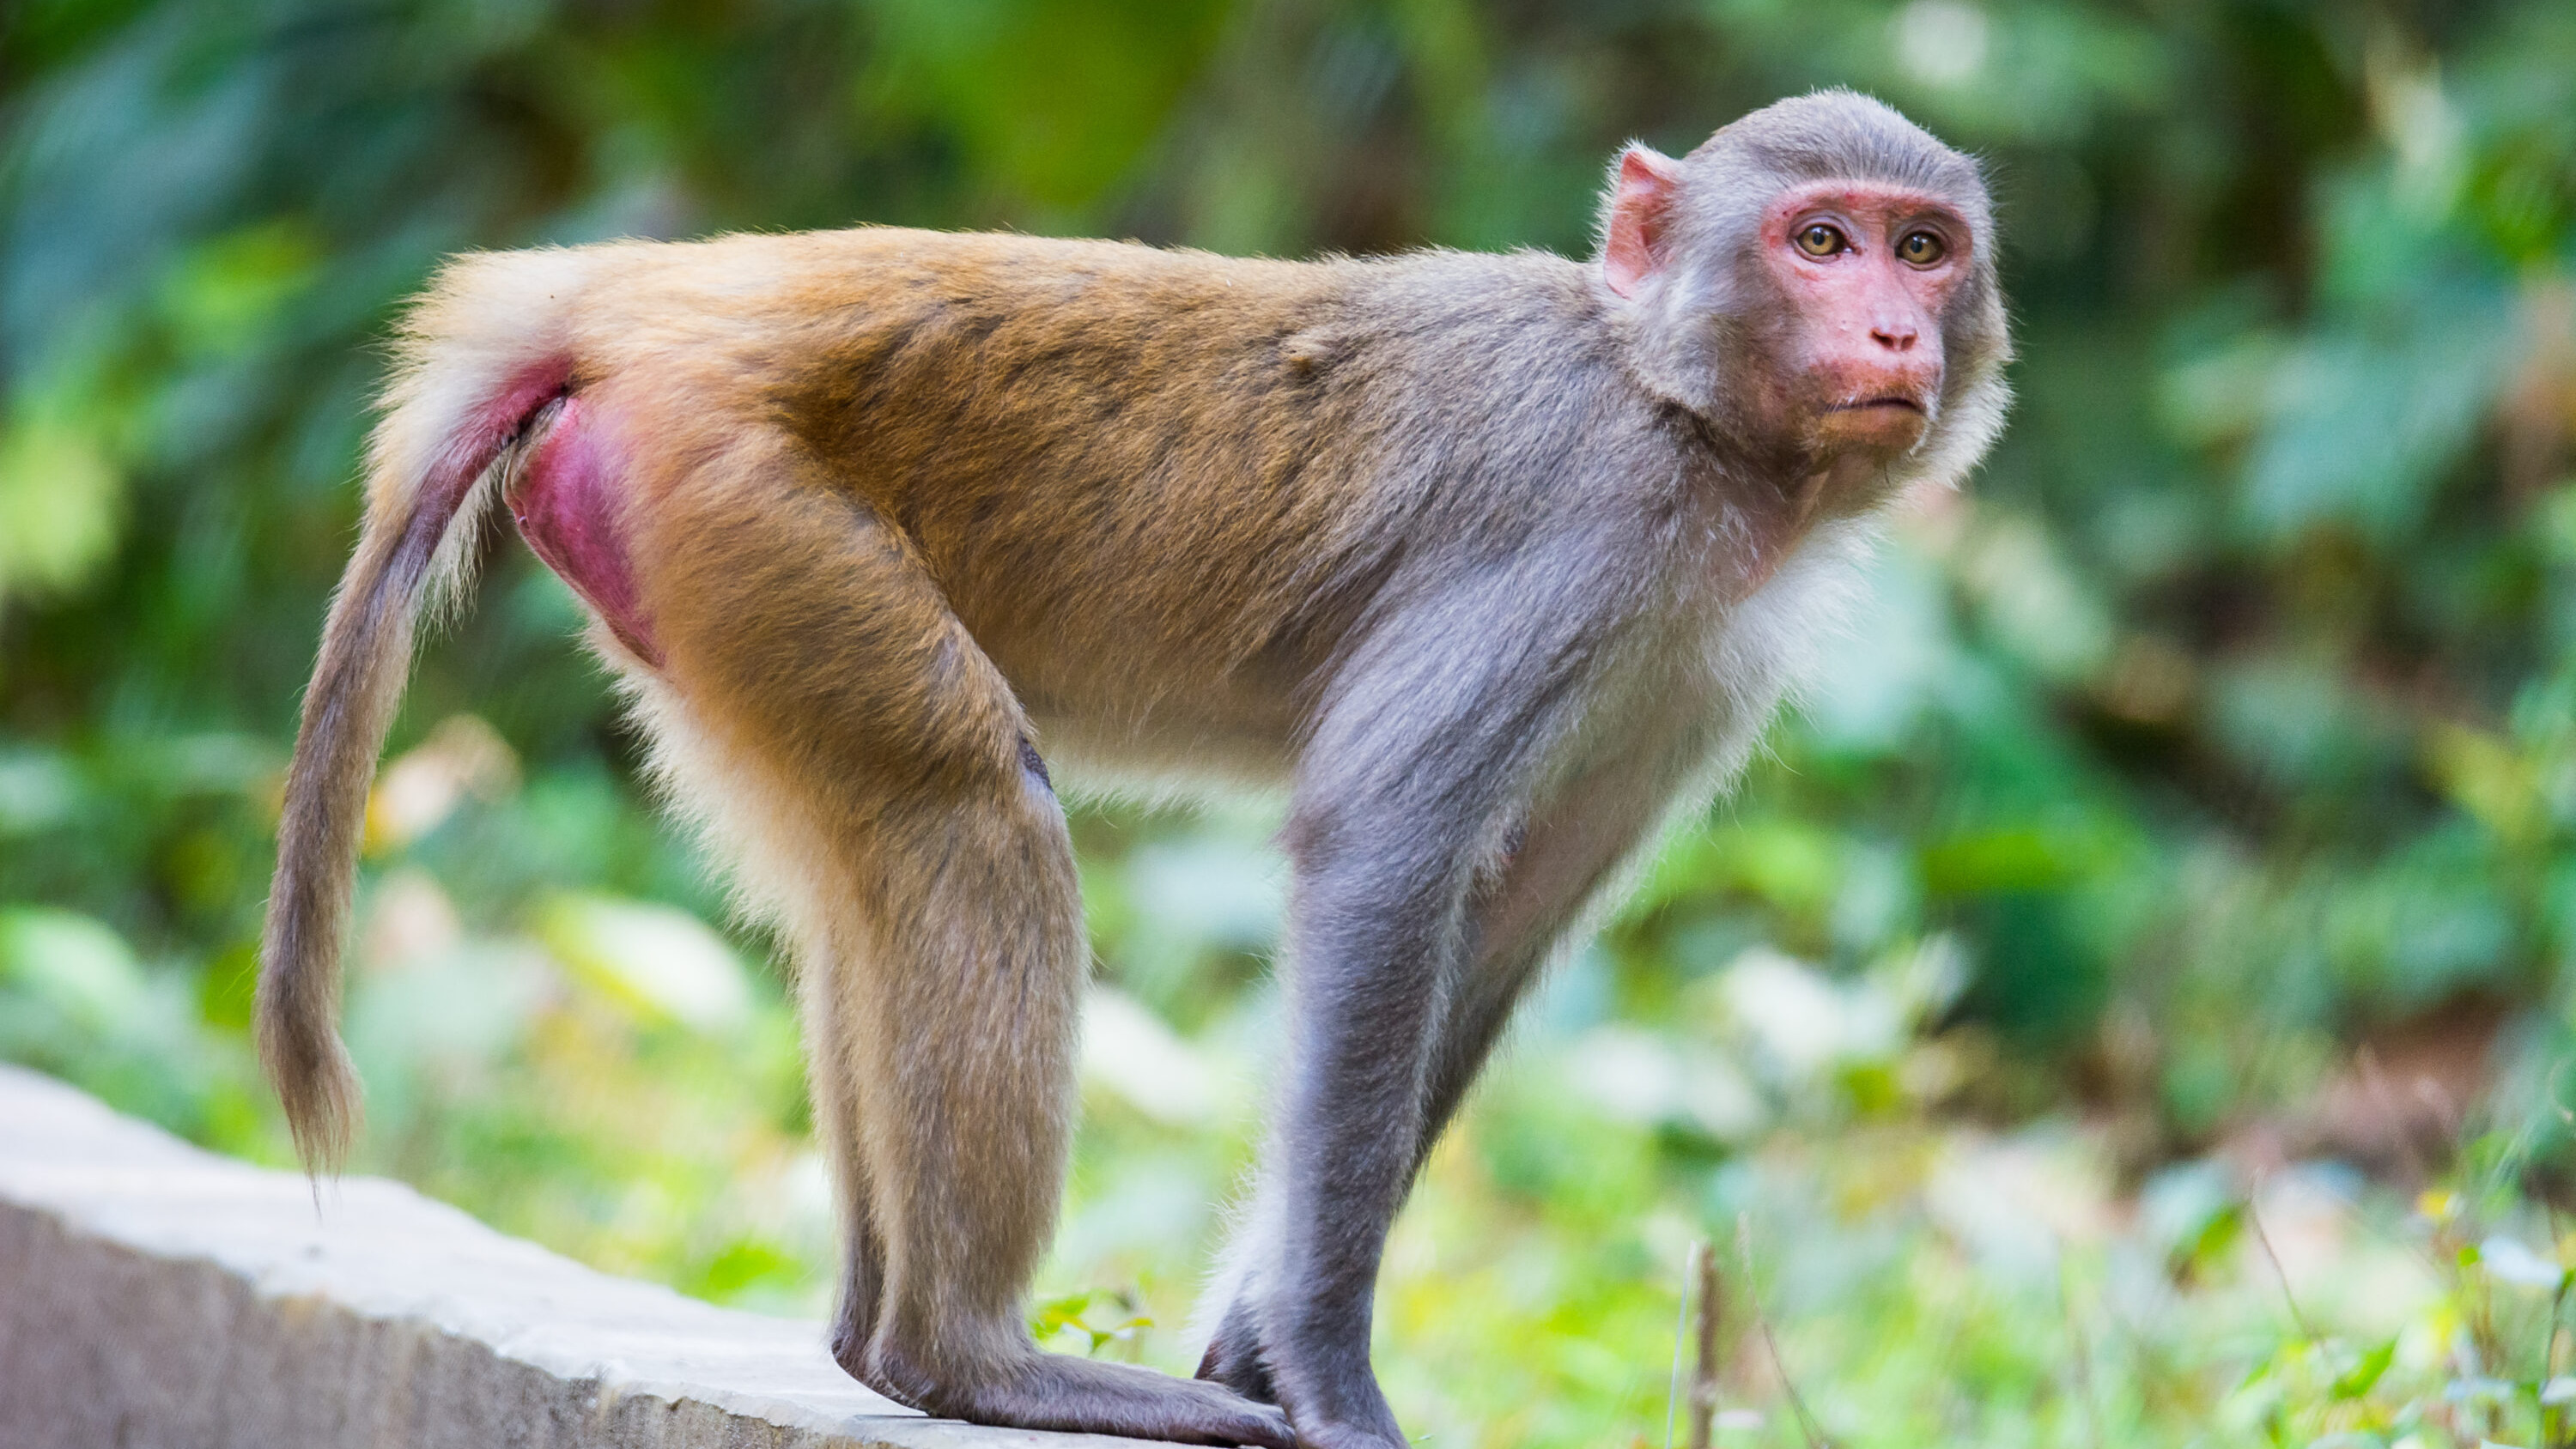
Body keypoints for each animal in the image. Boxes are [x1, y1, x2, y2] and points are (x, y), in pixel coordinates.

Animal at [256, 90, 2008, 1449]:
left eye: (1923, 248)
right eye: (1820, 241)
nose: (1894, 329)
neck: (1686, 412)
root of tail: (636, 301)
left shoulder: (1703, 661)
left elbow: (1502, 926)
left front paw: (1248, 1342)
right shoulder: (1588, 529)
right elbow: (1386, 848)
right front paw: (1324, 1370)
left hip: (698, 580)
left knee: (863, 880)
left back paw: (878, 1344)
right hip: (748, 501)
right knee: (972, 816)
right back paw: (966, 1360)